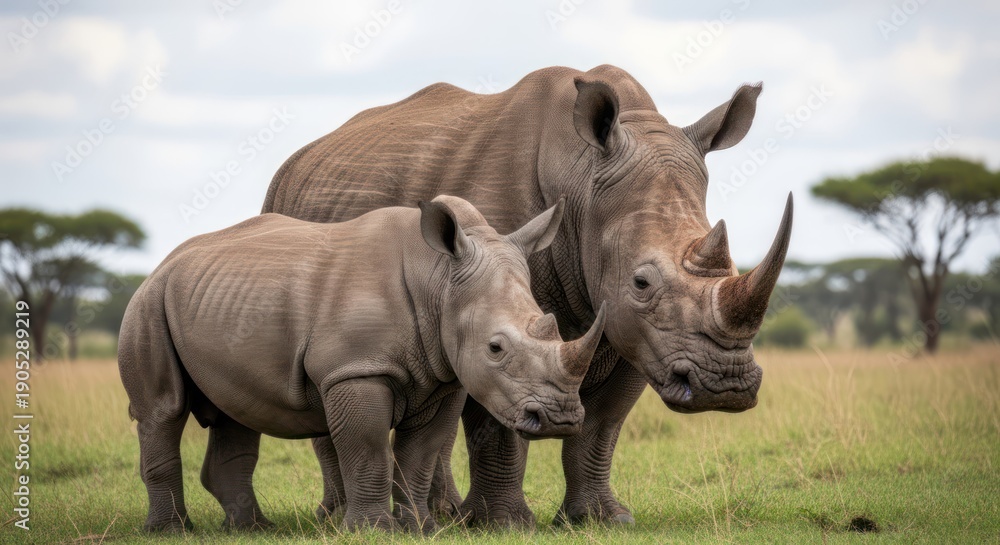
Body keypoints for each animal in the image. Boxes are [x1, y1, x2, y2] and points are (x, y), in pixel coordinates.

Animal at [117, 195, 606, 533]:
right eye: (495, 348)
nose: (561, 418)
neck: (439, 281)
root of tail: (164, 263)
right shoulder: (356, 369)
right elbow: (369, 448)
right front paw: (373, 530)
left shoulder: (446, 376)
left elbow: (421, 453)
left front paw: (419, 528)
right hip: (148, 303)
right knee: (163, 411)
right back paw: (171, 531)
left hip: (216, 298)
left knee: (235, 412)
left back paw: (252, 529)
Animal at [262, 64, 793, 526]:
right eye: (641, 283)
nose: (725, 385)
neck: (583, 186)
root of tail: (297, 162)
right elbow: (497, 423)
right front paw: (505, 523)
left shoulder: (641, 338)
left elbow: (601, 428)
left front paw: (602, 519)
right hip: (288, 216)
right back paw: (339, 518)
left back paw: (444, 515)